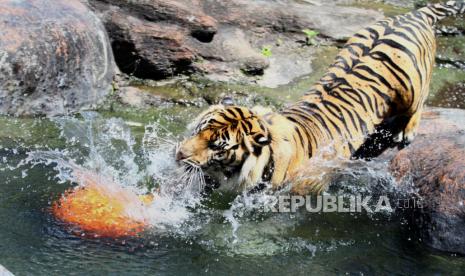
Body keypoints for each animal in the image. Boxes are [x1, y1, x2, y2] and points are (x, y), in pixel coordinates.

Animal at [174, 1, 464, 194]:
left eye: (217, 147)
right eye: (198, 130)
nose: (178, 155)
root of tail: (411, 14)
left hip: (411, 86)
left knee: (420, 102)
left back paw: (407, 131)